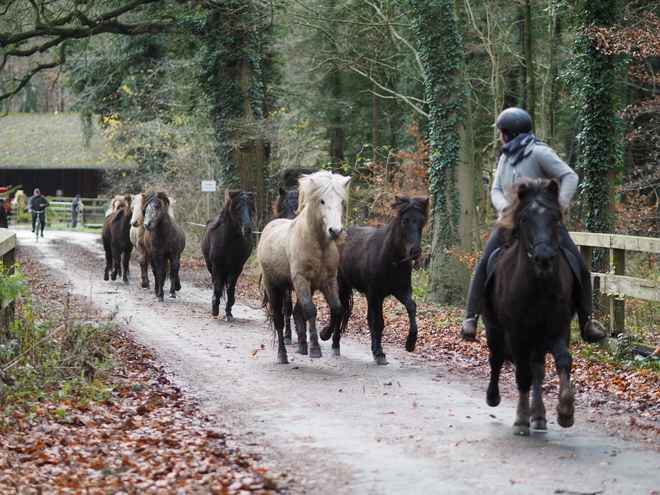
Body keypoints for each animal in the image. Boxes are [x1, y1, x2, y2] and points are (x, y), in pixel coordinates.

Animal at [201, 190, 255, 322]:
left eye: (251, 208)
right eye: (237, 208)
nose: (248, 229)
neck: (230, 242)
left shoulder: (237, 268)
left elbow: (230, 290)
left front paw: (228, 313)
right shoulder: (217, 266)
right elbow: (218, 288)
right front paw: (215, 308)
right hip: (210, 266)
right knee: (216, 283)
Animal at [256, 170, 350, 364]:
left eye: (342, 201)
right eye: (322, 201)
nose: (335, 231)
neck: (318, 245)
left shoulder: (328, 281)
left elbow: (337, 309)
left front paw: (324, 334)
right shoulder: (301, 280)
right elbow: (310, 310)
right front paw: (314, 347)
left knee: (297, 312)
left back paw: (301, 344)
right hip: (274, 286)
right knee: (279, 318)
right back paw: (282, 354)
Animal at [322, 196, 430, 366]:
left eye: (421, 221)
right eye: (404, 221)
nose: (415, 251)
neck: (392, 259)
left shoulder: (400, 290)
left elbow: (411, 307)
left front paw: (410, 343)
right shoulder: (376, 294)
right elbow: (378, 322)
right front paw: (379, 353)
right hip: (343, 286)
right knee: (339, 311)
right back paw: (332, 342)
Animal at [482, 180, 576, 436]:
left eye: (554, 217)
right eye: (524, 218)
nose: (543, 258)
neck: (538, 286)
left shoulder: (557, 329)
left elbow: (563, 360)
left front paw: (565, 411)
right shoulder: (516, 333)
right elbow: (522, 374)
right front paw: (521, 419)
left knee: (538, 370)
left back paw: (540, 416)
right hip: (493, 330)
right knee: (496, 358)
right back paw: (493, 397)